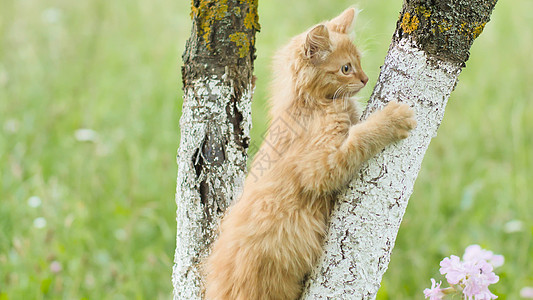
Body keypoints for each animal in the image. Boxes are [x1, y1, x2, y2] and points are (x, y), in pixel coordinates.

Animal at [204, 7, 416, 300]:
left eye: (359, 62)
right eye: (346, 68)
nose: (365, 79)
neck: (309, 104)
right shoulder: (319, 167)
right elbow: (359, 137)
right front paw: (393, 118)